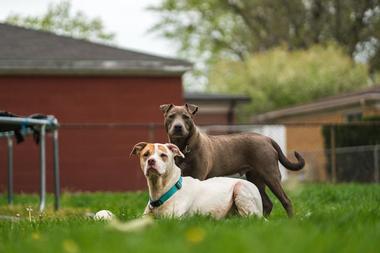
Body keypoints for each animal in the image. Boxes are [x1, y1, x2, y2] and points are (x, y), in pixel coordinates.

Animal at [160, 103, 306, 217]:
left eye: (186, 117)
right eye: (171, 116)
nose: (178, 127)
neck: (184, 146)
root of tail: (267, 138)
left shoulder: (198, 175)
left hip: (270, 174)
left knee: (286, 201)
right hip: (255, 178)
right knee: (267, 203)